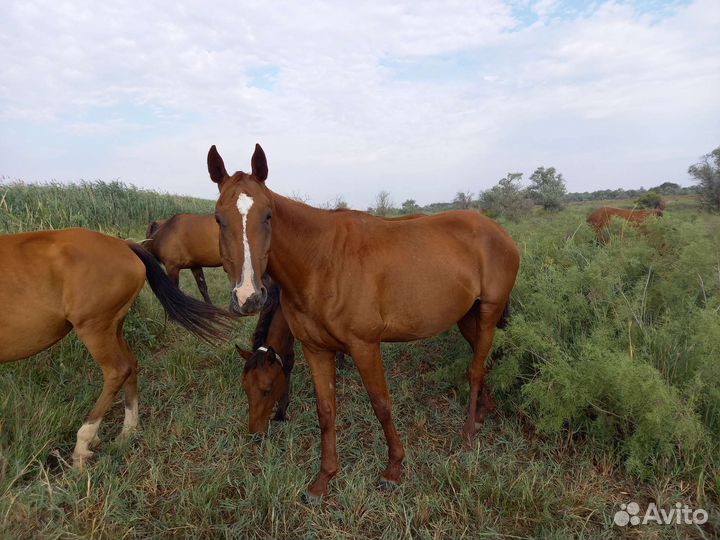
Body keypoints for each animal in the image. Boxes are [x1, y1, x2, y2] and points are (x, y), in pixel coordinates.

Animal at [0, 228, 233, 468]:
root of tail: (123, 244)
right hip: (114, 326)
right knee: (130, 364)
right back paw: (128, 429)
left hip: (95, 327)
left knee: (117, 371)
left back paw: (83, 443)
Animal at [203, 143, 520, 502]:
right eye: (218, 219)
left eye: (268, 215)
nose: (248, 296)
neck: (320, 262)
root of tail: (497, 230)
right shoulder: (316, 349)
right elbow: (326, 410)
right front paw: (324, 479)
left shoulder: (365, 347)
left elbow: (381, 404)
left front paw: (393, 469)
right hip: (468, 316)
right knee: (483, 360)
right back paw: (481, 413)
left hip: (489, 311)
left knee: (476, 369)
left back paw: (467, 432)